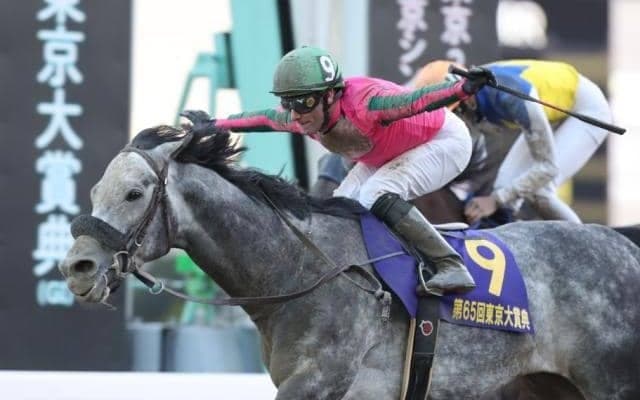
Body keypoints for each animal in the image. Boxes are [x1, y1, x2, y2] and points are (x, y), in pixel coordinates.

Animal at [58, 122, 640, 399]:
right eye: (94, 191)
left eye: (135, 193)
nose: (77, 268)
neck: (301, 270)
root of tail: (622, 246)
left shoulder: (318, 382)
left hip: (611, 384)